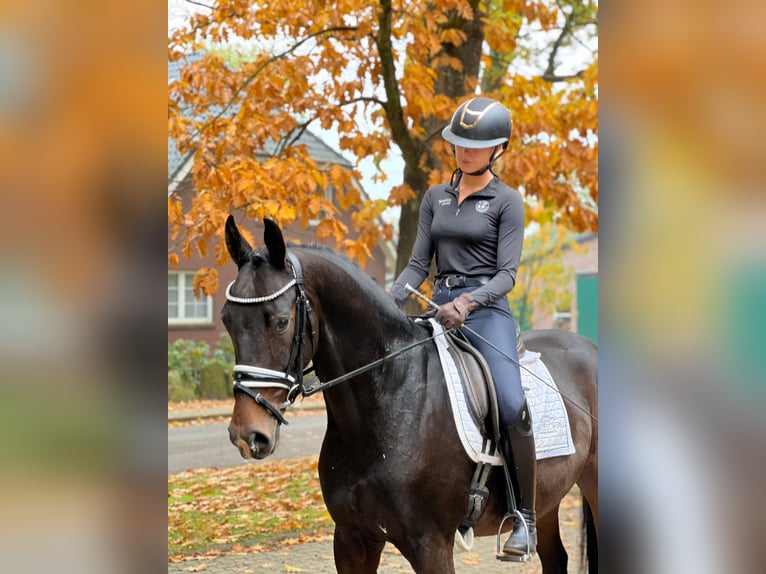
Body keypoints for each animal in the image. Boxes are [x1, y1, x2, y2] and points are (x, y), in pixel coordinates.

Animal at [222, 217, 600, 574]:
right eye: (227, 319)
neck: (388, 399)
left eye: (281, 322)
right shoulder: (352, 538)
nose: (248, 434)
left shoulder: (430, 544)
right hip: (549, 498)